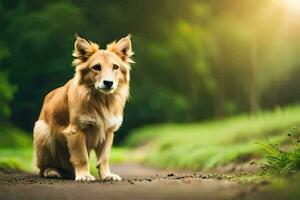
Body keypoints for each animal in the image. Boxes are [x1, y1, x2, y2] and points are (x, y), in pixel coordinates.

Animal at [32, 34, 134, 181]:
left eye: (115, 67)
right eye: (96, 67)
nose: (108, 83)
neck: (102, 101)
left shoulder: (108, 131)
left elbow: (104, 158)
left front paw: (106, 175)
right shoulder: (76, 131)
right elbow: (82, 157)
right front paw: (84, 175)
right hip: (41, 130)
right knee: (43, 168)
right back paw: (52, 171)